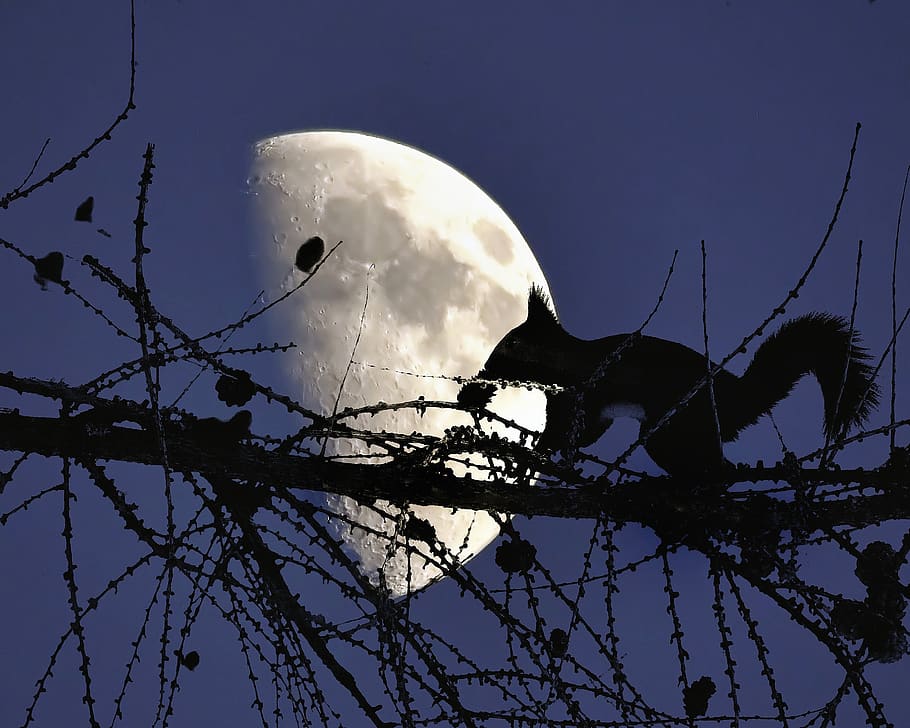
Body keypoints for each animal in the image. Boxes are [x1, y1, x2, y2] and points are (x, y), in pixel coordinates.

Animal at [459, 286, 880, 476]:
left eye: (512, 343)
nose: (484, 371)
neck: (567, 365)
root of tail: (738, 397)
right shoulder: (574, 405)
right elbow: (580, 434)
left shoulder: (587, 395)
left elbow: (572, 432)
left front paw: (538, 450)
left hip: (672, 427)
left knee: (713, 465)